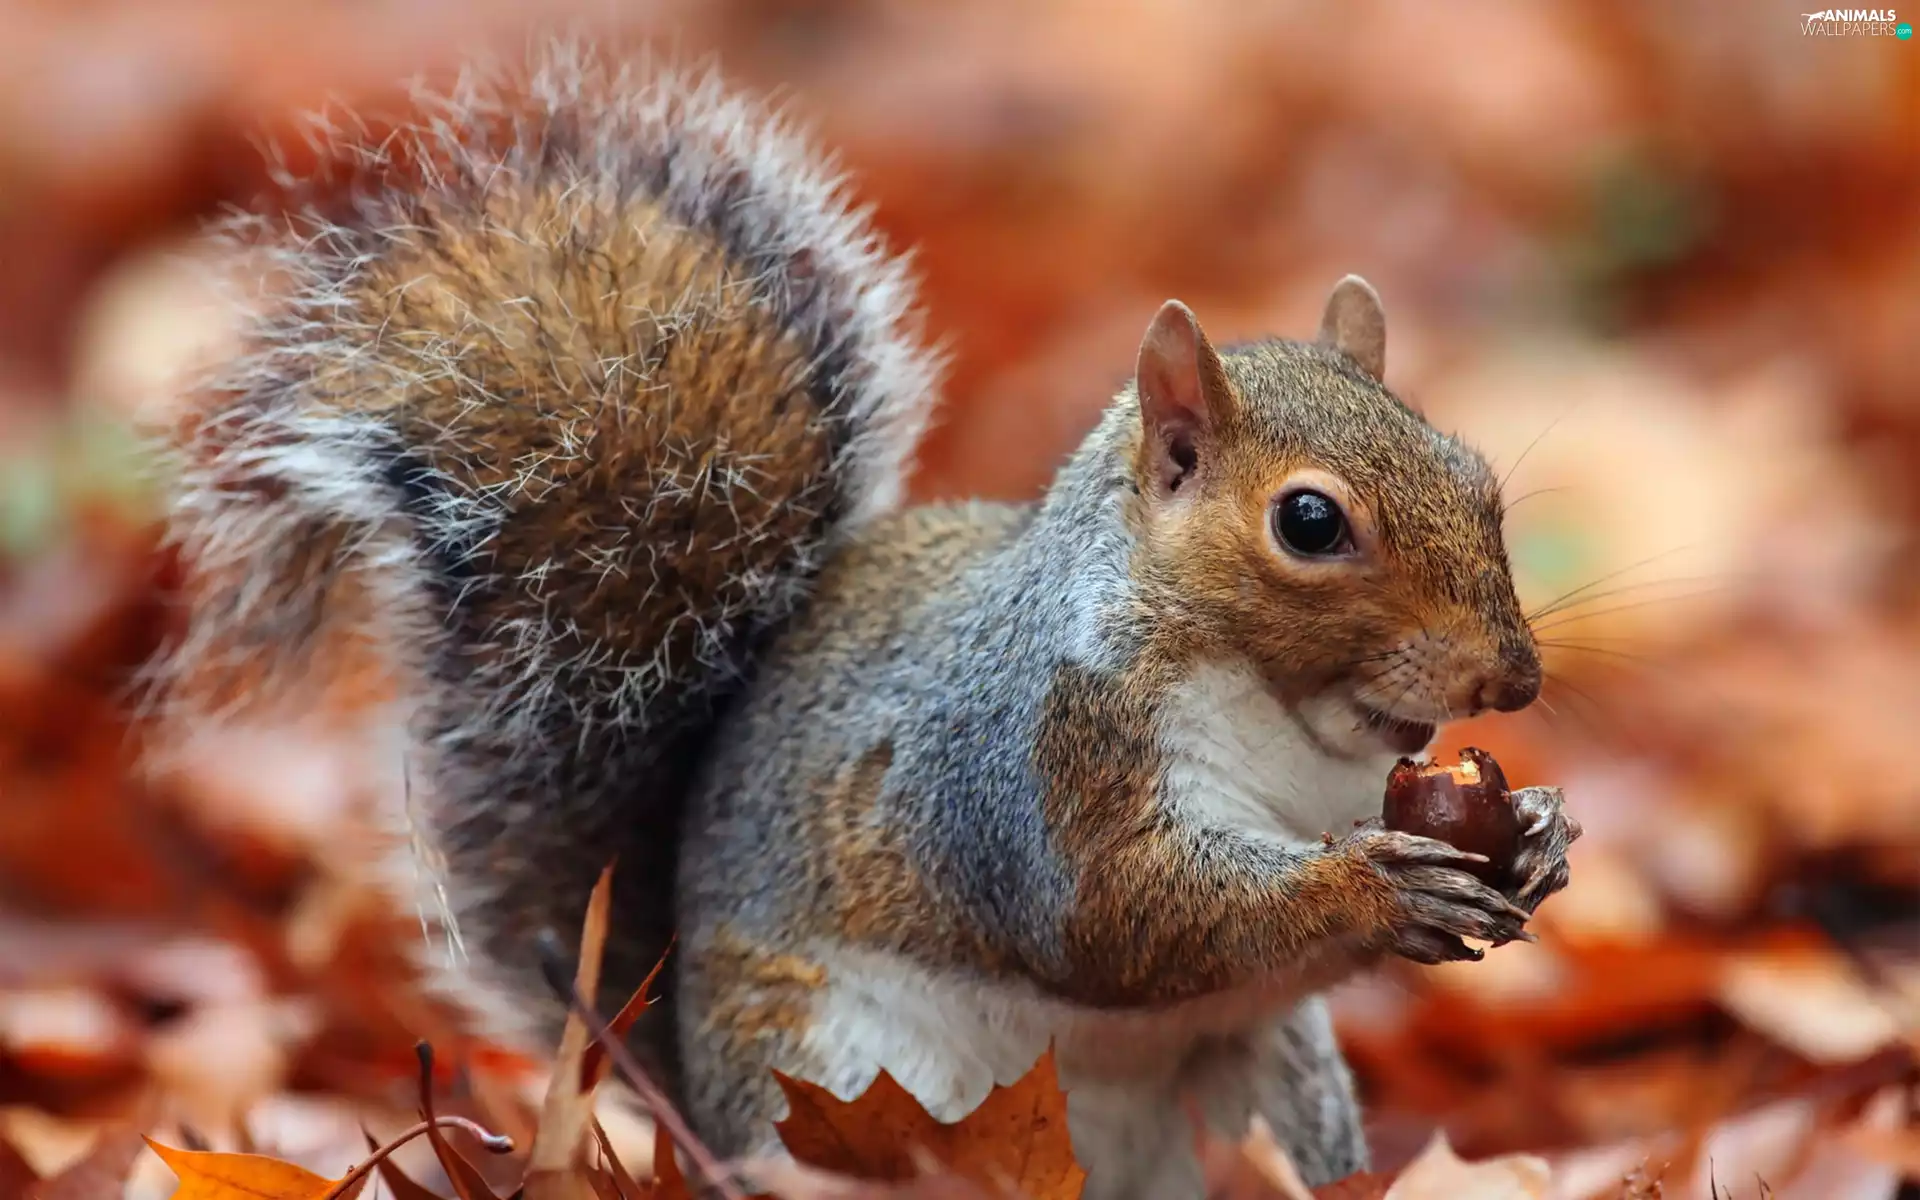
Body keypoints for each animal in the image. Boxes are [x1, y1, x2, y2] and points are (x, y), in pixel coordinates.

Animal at [149, 42, 1576, 1200]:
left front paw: (1539, 838)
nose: (1508, 681)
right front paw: (1368, 886)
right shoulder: (1024, 770)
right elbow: (1121, 919)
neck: (1289, 726)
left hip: (1268, 1079)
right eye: (1311, 523)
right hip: (838, 1084)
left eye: (1476, 479)